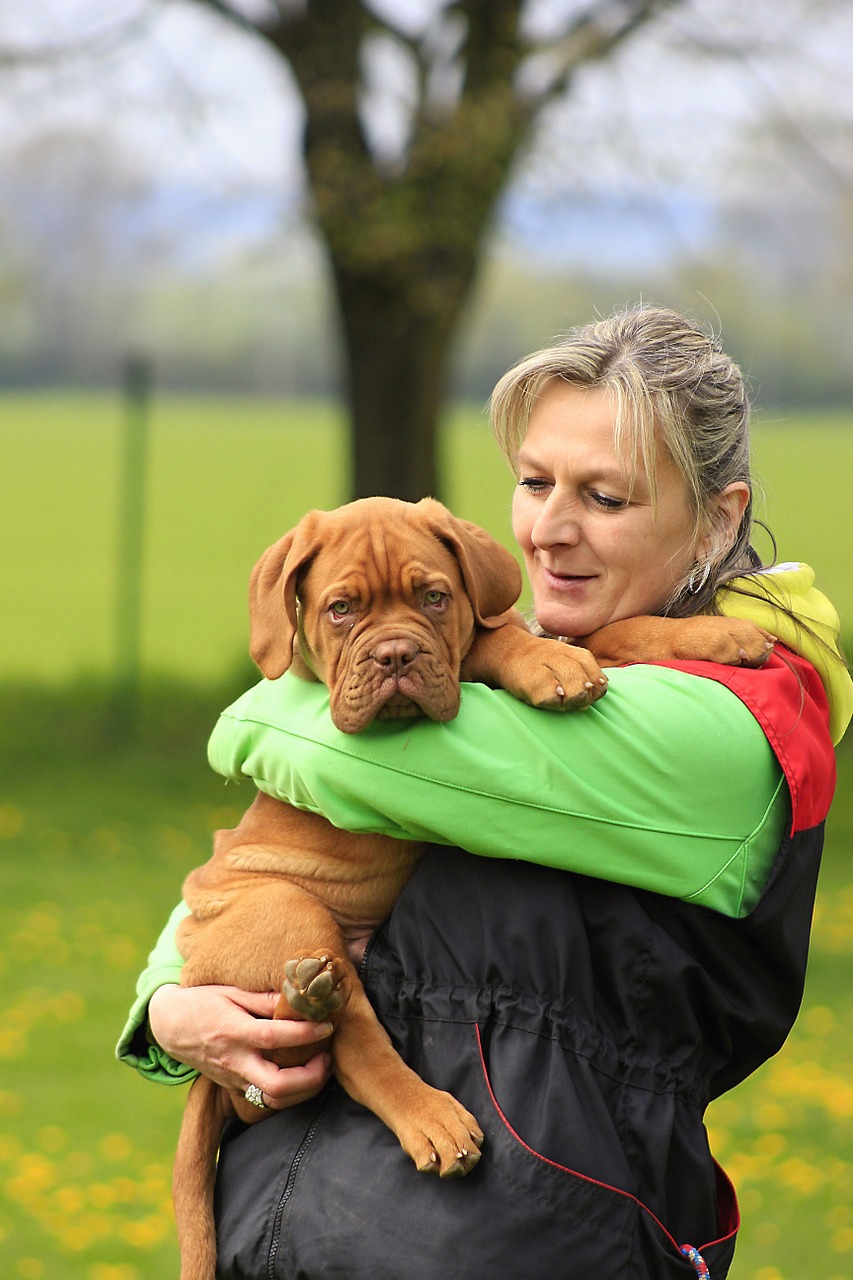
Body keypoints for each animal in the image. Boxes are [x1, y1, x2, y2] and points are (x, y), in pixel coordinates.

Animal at [171, 496, 768, 1280]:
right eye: (340, 610)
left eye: (434, 597)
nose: (395, 656)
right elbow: (494, 643)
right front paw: (545, 661)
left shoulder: (562, 632)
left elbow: (612, 628)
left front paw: (717, 633)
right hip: (284, 907)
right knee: (351, 1049)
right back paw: (415, 1102)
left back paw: (309, 1000)